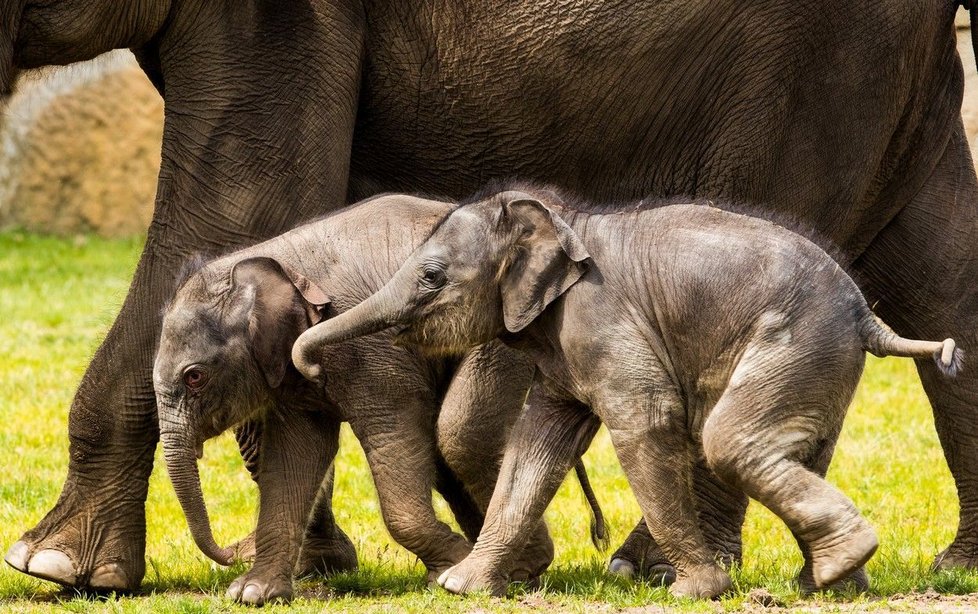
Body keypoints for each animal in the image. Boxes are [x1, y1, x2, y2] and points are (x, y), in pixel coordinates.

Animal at [152, 196, 604, 608]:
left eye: (195, 376)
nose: (231, 552)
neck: (269, 260)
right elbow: (294, 456)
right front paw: (252, 594)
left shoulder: (371, 355)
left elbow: (392, 428)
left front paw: (449, 568)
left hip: (497, 336)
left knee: (460, 436)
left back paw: (517, 568)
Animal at [292, 185, 960, 600]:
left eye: (431, 277)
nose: (308, 359)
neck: (559, 219)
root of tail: (866, 315)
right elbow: (537, 445)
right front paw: (463, 587)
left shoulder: (601, 317)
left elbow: (647, 421)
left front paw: (694, 591)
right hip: (821, 363)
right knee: (797, 450)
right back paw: (832, 582)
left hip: (797, 342)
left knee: (731, 440)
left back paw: (839, 564)